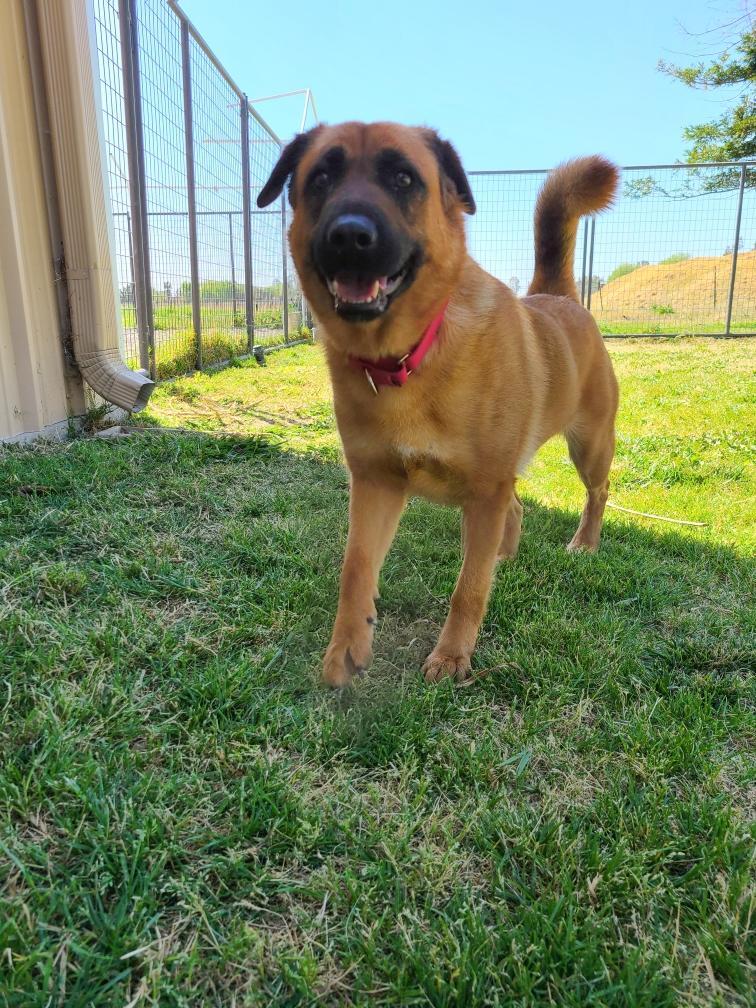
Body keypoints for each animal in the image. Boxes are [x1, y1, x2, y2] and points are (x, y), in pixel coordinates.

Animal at [258, 117, 616, 685]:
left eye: (404, 178)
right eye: (321, 177)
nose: (350, 236)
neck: (409, 356)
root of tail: (557, 298)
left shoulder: (485, 490)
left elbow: (467, 590)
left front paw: (452, 656)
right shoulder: (376, 484)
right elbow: (356, 570)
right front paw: (345, 651)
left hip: (591, 447)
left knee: (597, 493)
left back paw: (584, 542)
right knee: (514, 512)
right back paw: (503, 557)